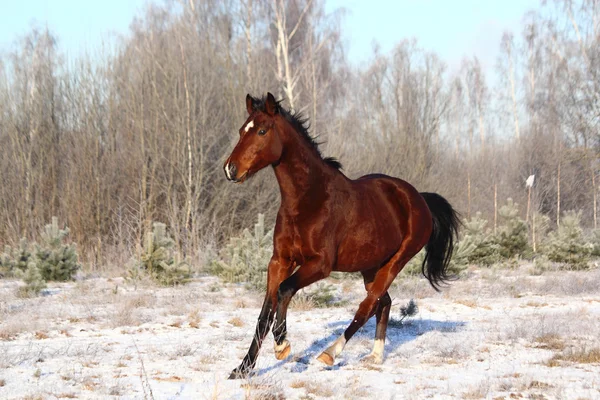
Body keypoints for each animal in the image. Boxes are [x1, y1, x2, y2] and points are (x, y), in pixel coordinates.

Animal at [225, 93, 460, 378]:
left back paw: (330, 353)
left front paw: (281, 344)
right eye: (242, 130)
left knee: (367, 305)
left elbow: (285, 290)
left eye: (262, 131)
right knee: (383, 302)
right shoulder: (279, 261)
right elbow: (264, 313)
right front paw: (242, 369)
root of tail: (419, 198)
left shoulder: (320, 264)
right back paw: (375, 356)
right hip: (371, 265)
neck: (308, 200)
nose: (231, 169)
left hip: (396, 261)